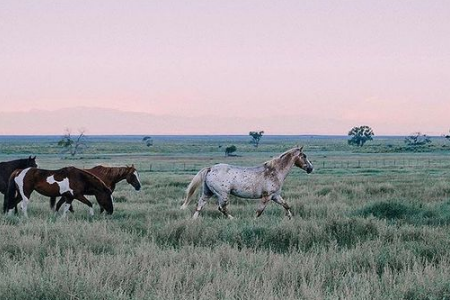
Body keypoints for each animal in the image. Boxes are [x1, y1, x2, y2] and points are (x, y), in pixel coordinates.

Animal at [179, 146, 312, 219]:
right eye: (304, 156)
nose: (311, 168)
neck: (274, 172)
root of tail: (210, 168)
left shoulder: (275, 196)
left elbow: (286, 205)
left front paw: (291, 218)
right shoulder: (267, 197)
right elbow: (259, 212)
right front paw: (253, 221)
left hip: (208, 192)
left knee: (199, 206)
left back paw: (193, 221)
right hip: (223, 194)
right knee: (222, 208)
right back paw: (233, 219)